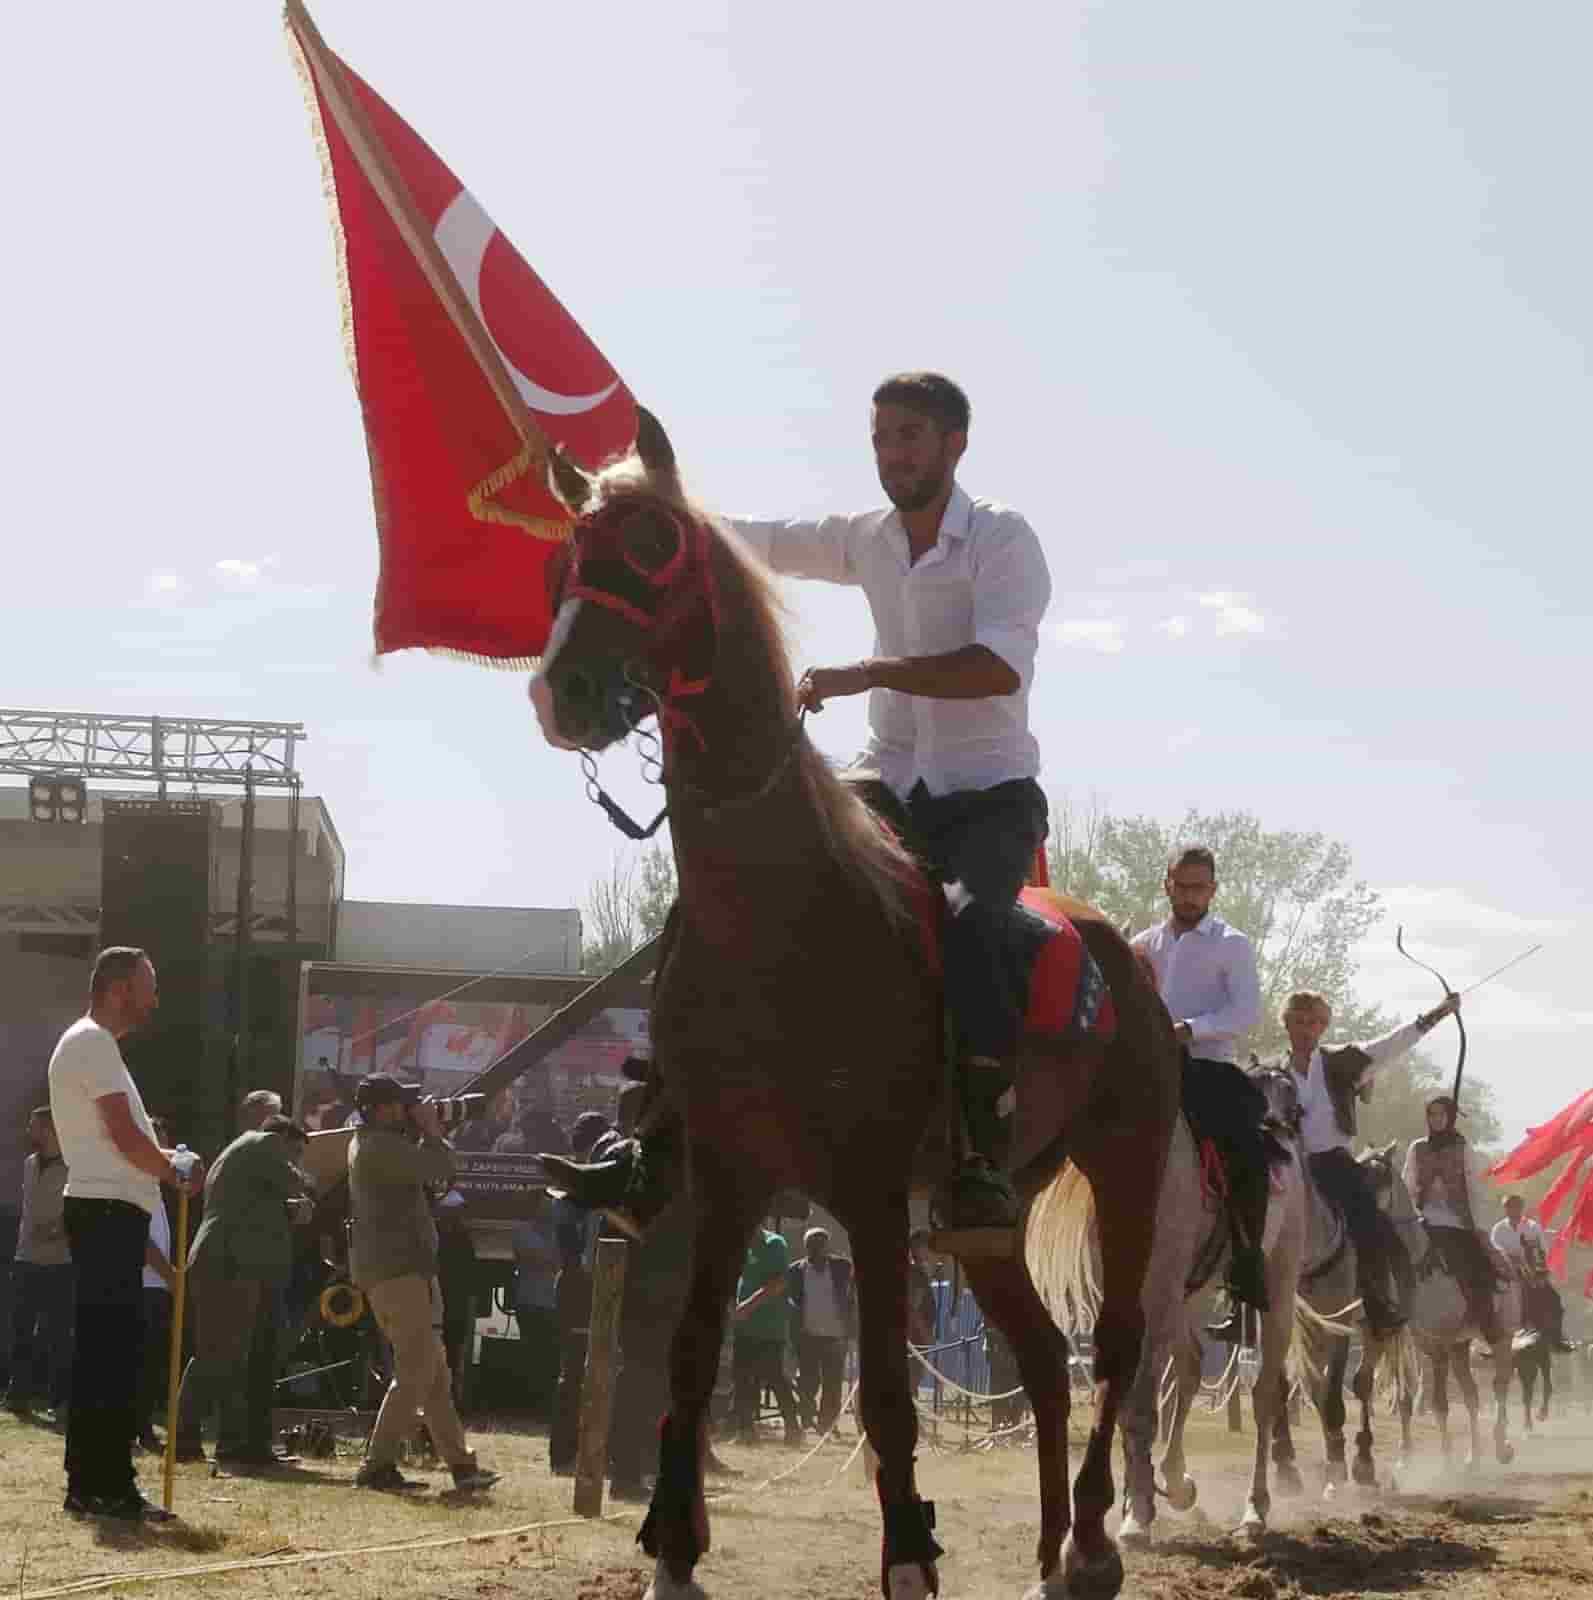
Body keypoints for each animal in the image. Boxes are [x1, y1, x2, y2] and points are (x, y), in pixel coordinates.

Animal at [527, 416, 1177, 1600]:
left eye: (651, 548)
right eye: (565, 554)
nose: (565, 694)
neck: (783, 918)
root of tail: (1123, 961)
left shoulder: (868, 1194)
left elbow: (882, 1389)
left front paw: (910, 1551)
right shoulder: (728, 1178)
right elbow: (690, 1357)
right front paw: (672, 1549)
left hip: (1125, 1163)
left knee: (1113, 1345)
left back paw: (1092, 1544)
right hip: (981, 1221)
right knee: (1043, 1363)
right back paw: (1046, 1550)